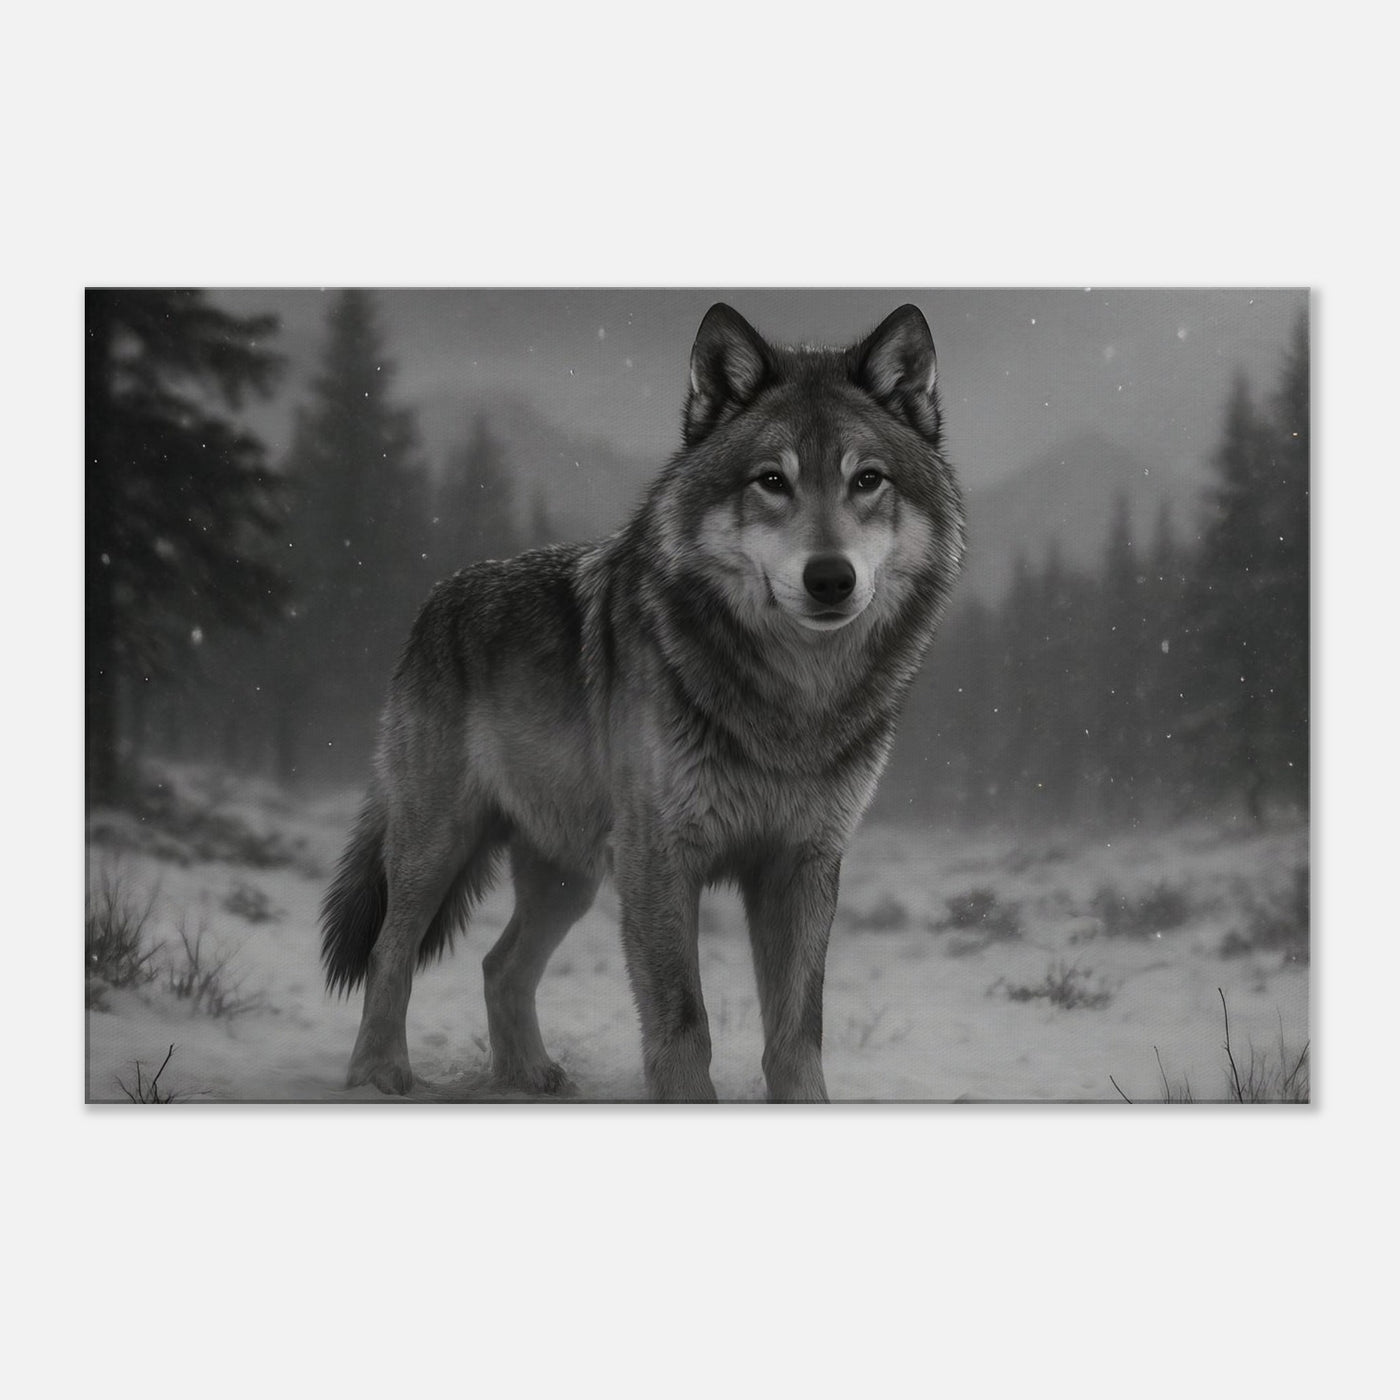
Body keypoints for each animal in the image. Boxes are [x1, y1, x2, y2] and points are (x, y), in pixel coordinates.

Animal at [321, 302, 966, 1101]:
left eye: (868, 479)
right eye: (772, 481)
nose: (829, 578)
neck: (792, 703)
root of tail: (436, 598)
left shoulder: (802, 864)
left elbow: (797, 1034)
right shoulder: (661, 860)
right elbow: (685, 1024)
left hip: (572, 877)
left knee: (499, 964)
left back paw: (528, 1074)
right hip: (441, 846)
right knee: (392, 949)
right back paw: (378, 1075)